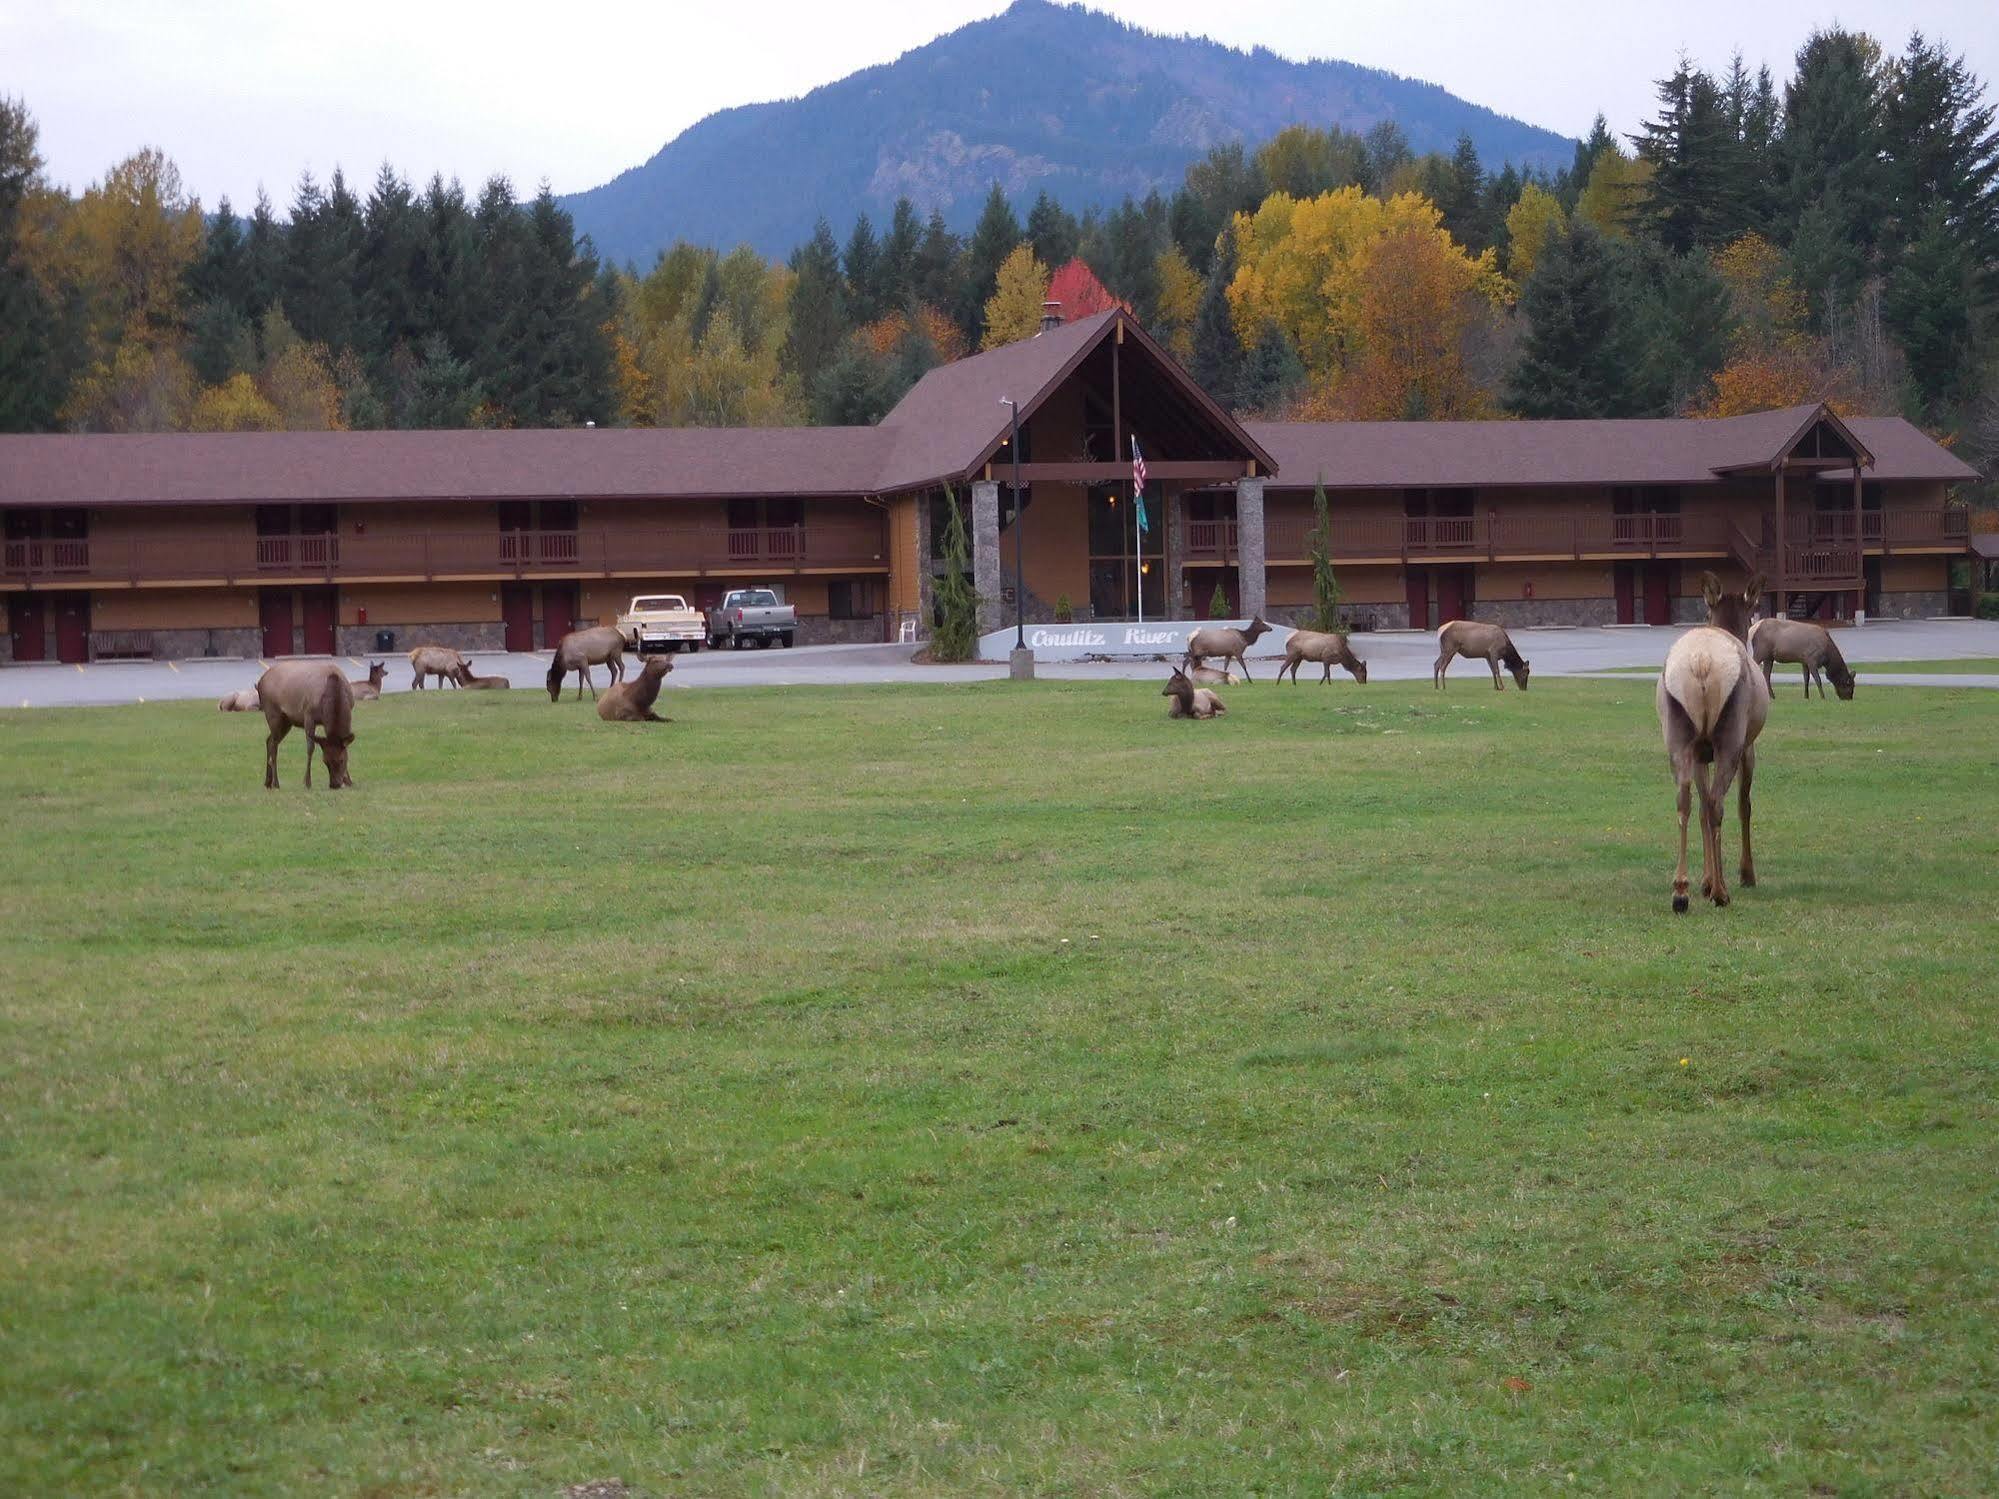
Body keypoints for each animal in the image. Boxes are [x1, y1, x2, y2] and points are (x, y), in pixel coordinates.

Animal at [253, 663, 355, 791]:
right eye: (325, 761)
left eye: (342, 760)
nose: (335, 785)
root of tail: (259, 683)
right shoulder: (308, 715)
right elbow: (310, 748)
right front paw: (307, 782)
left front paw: (349, 781)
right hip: (273, 713)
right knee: (273, 746)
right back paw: (276, 783)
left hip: (286, 721)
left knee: (269, 740)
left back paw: (267, 782)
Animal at [1655, 575, 1767, 915]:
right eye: (1752, 613)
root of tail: (1702, 661)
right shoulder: (1747, 747)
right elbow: (1744, 805)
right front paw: (1745, 874)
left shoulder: (1701, 754)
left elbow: (1701, 808)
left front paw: (1703, 881)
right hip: (1729, 737)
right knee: (1719, 803)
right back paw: (1721, 892)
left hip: (1680, 738)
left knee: (1685, 801)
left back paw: (1680, 891)